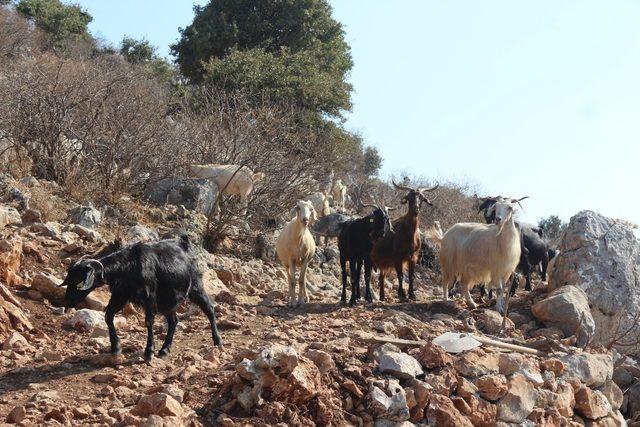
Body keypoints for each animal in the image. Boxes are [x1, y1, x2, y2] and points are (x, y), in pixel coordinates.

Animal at [62, 236, 222, 362]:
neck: (129, 265)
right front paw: (116, 348)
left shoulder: (149, 296)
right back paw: (164, 349)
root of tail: (184, 244)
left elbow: (149, 321)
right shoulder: (120, 295)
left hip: (195, 287)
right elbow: (108, 315)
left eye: (78, 282)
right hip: (166, 301)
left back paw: (217, 341)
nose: (68, 301)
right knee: (173, 320)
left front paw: (149, 352)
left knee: (209, 309)